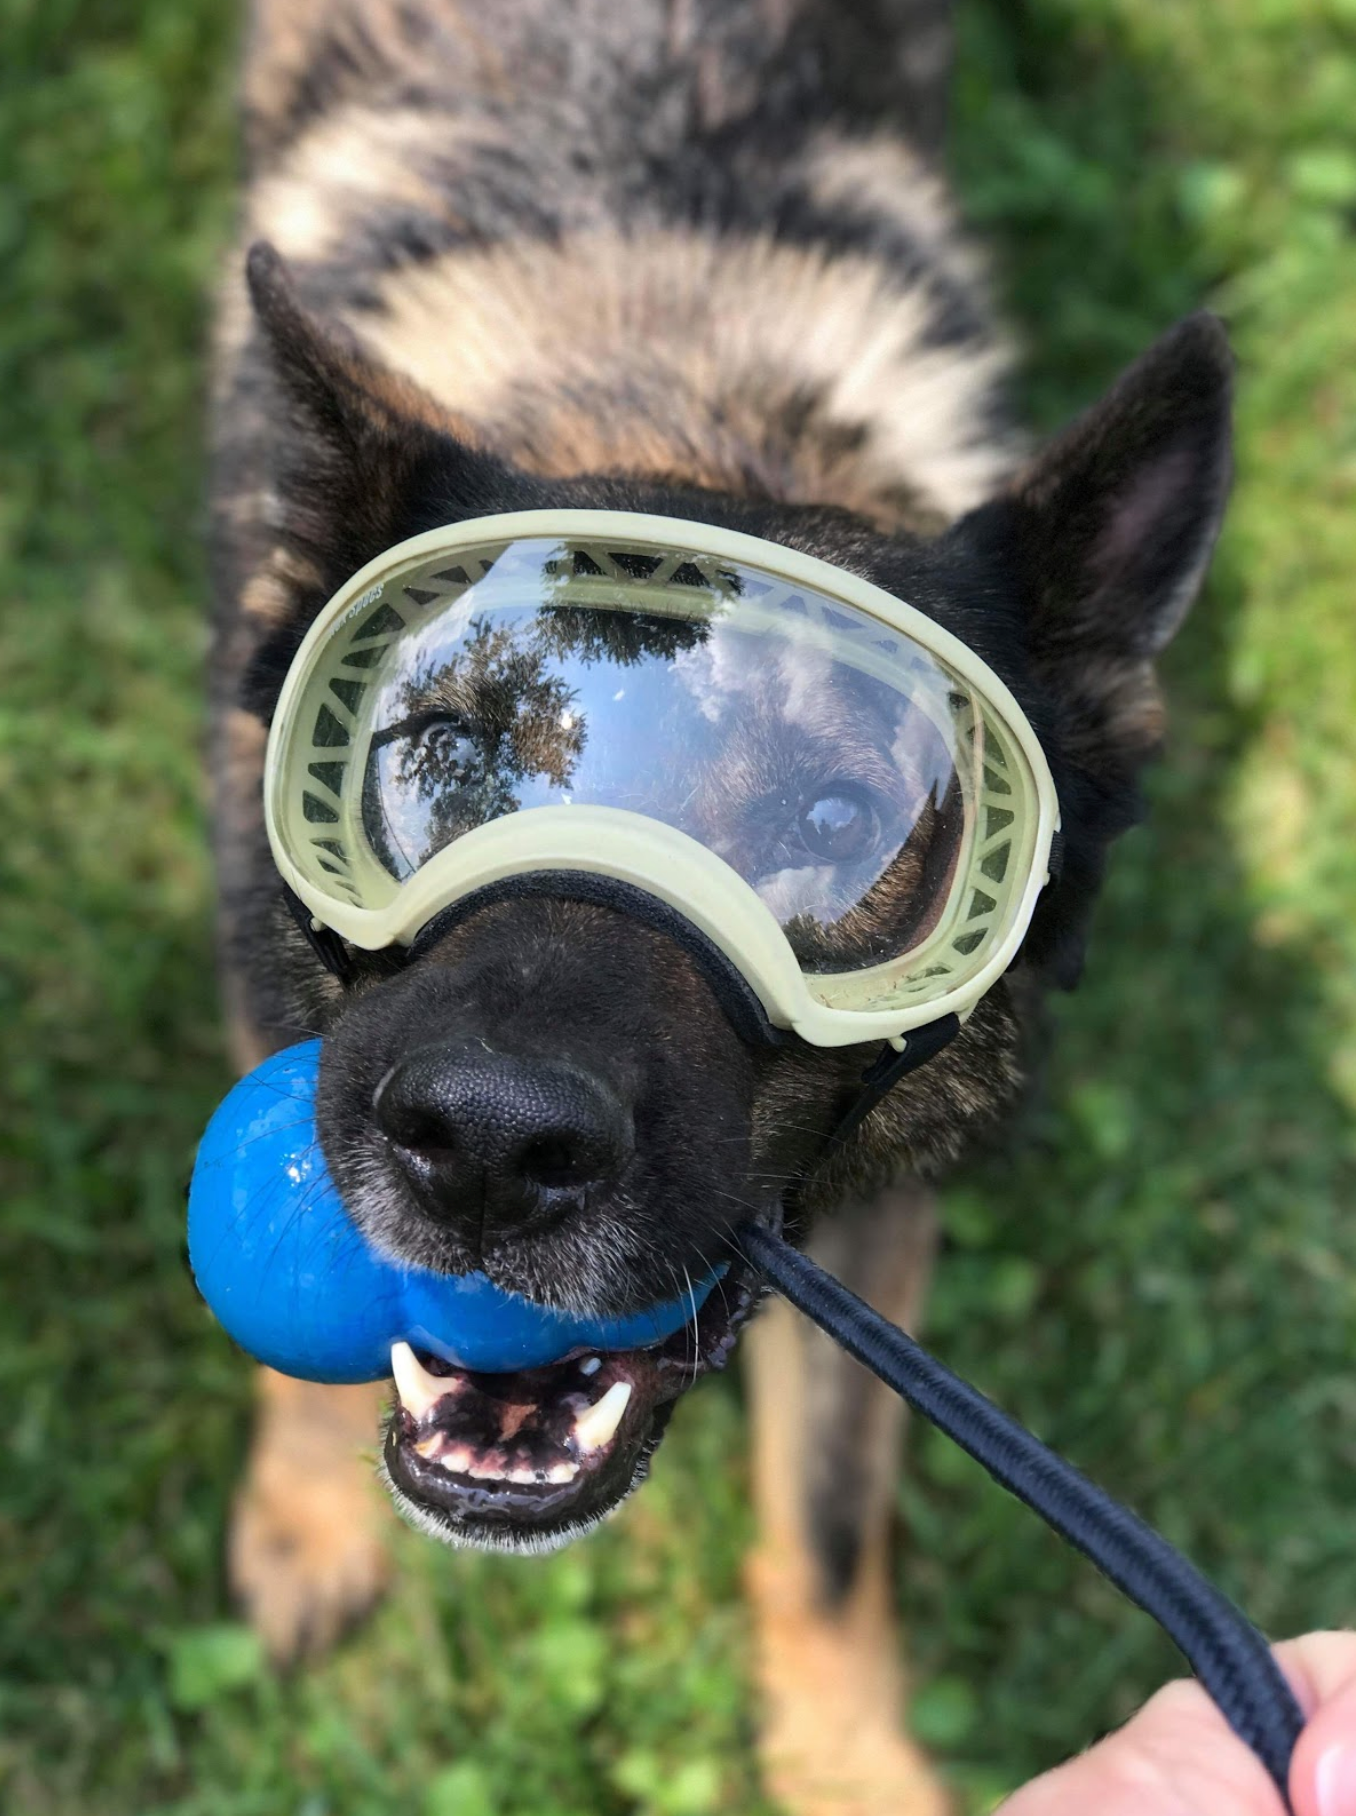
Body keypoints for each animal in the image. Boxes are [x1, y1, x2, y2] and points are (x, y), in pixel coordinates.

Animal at [206, 7, 1234, 1808]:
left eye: (839, 822)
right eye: (439, 748)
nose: (487, 1147)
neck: (685, 400)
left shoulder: (873, 1214)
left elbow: (827, 1525)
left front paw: (851, 1761)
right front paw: (307, 1518)